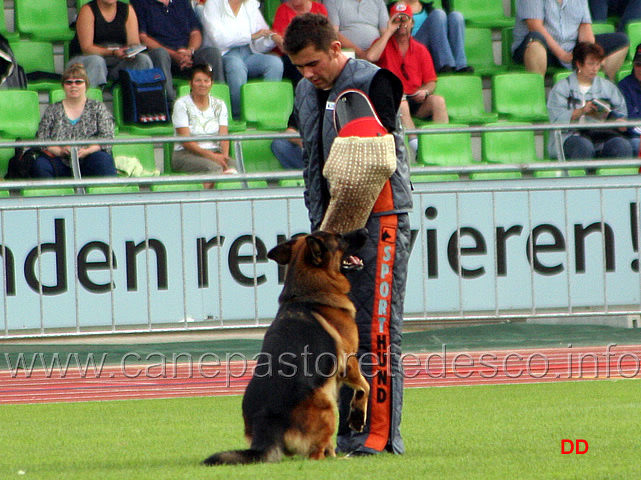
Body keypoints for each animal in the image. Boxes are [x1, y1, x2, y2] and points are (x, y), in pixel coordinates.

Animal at [202, 229, 368, 464]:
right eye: (340, 238)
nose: (365, 231)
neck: (307, 293)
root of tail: (266, 426)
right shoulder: (349, 361)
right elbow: (365, 386)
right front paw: (357, 416)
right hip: (327, 404)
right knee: (316, 454)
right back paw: (340, 459)